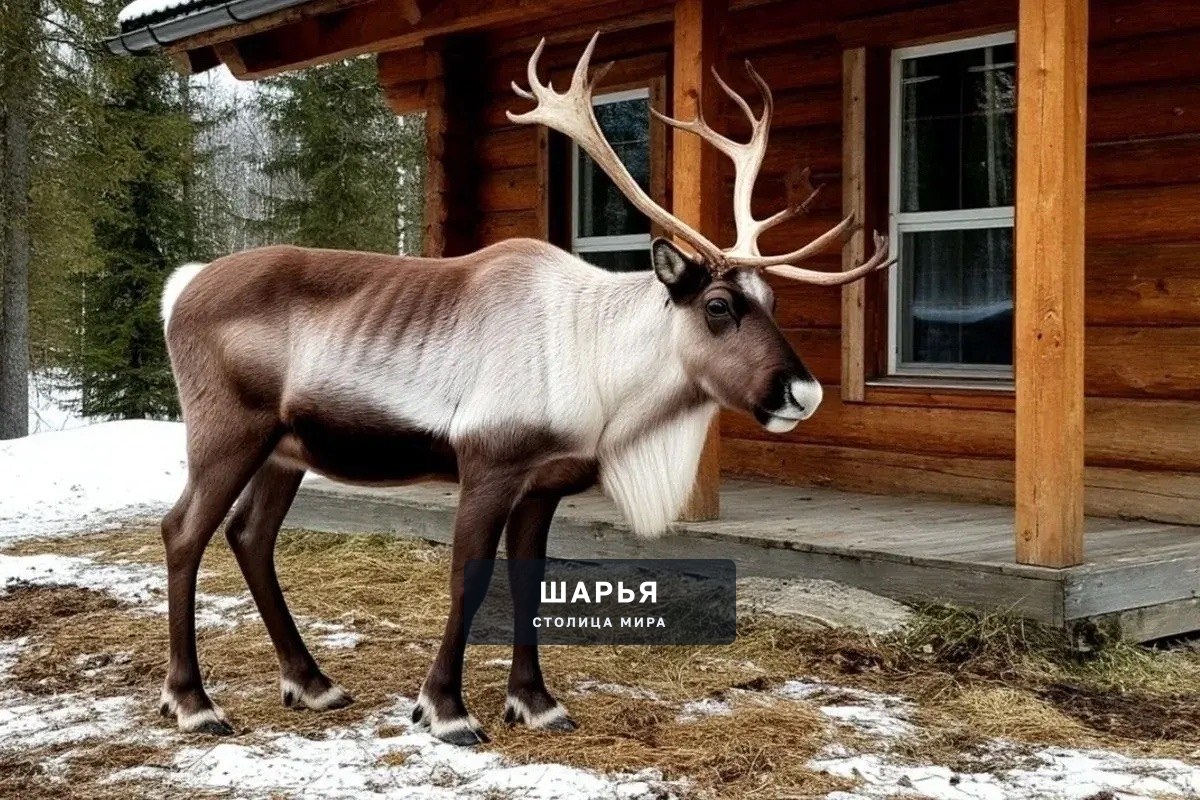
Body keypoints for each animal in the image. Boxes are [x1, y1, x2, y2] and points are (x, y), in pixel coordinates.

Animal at [156, 31, 893, 745]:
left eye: (771, 299)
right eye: (717, 306)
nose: (804, 392)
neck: (598, 371)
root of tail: (178, 291)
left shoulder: (545, 483)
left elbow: (529, 581)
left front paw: (535, 702)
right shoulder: (488, 464)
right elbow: (469, 577)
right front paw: (445, 709)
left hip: (285, 450)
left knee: (250, 535)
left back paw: (312, 684)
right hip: (228, 432)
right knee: (183, 530)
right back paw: (193, 702)